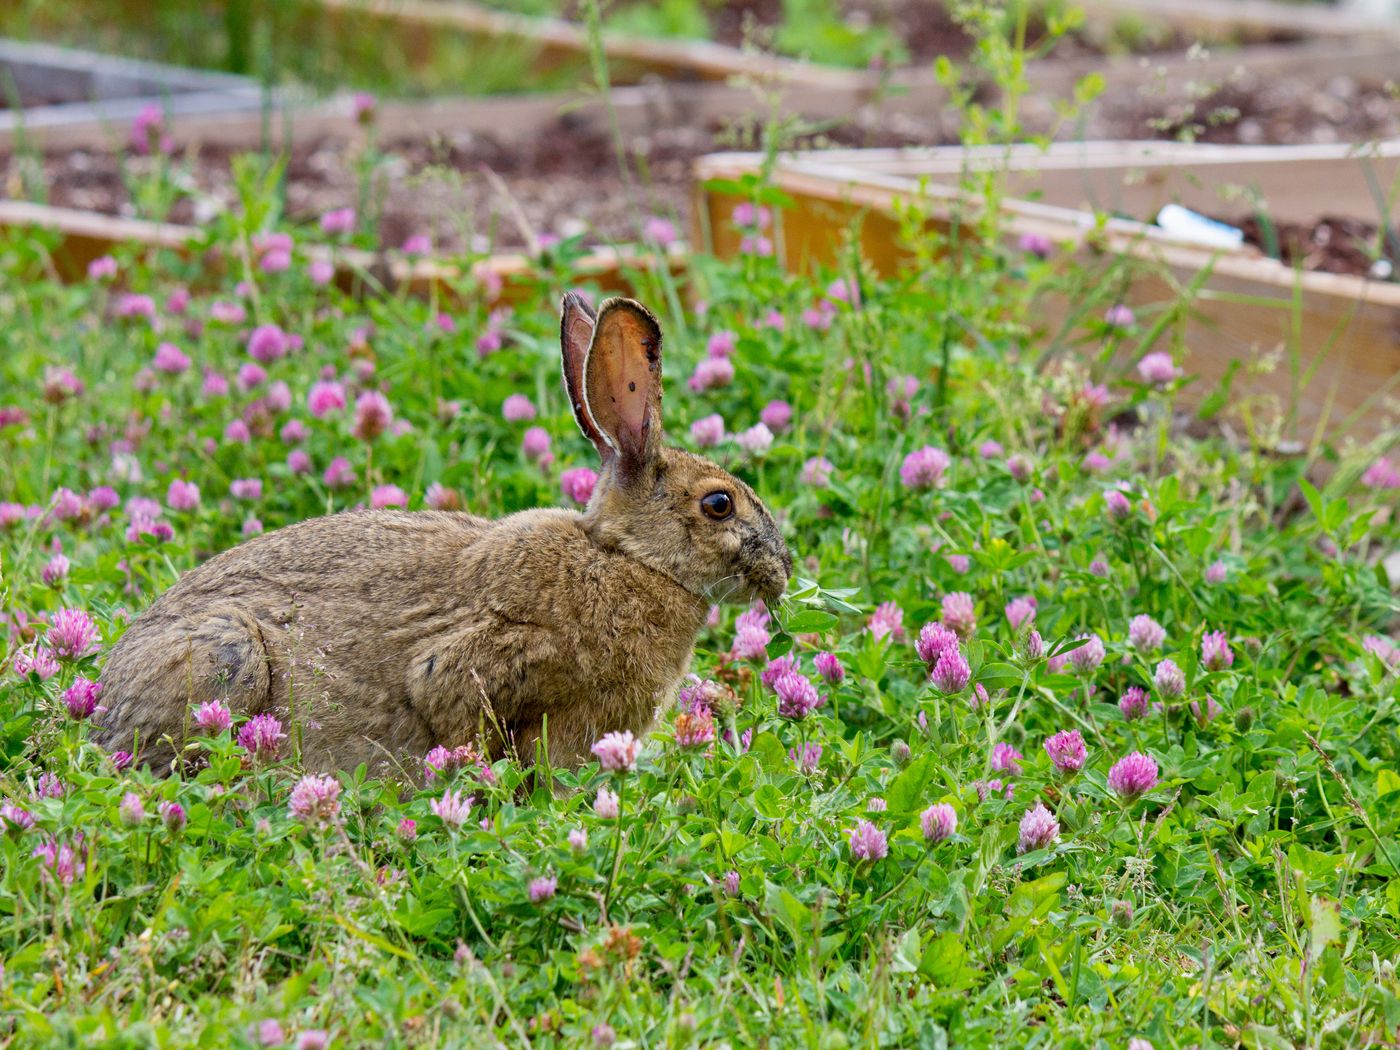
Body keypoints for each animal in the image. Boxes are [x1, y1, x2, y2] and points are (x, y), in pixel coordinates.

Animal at [95, 296, 800, 772]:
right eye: (719, 504)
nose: (782, 569)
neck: (628, 559)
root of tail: (101, 705)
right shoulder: (482, 666)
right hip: (229, 655)